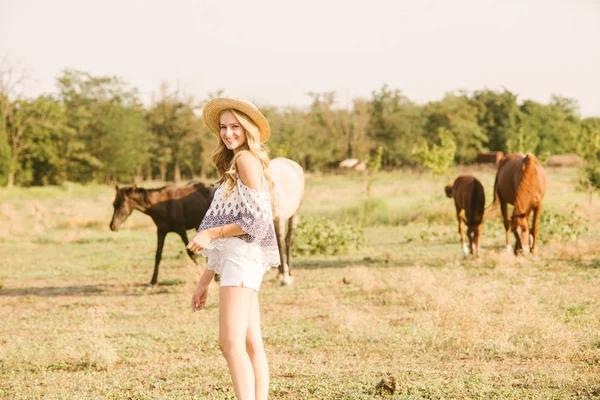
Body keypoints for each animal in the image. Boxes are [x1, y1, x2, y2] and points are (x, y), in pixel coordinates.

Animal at [268, 158, 304, 286]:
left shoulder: (279, 220)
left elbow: (281, 244)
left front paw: (285, 277)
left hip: (295, 214)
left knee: (288, 241)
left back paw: (288, 273)